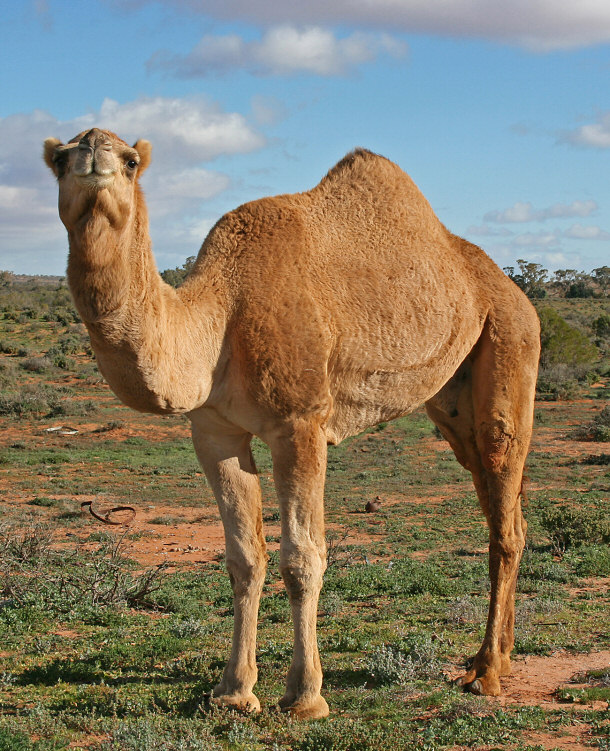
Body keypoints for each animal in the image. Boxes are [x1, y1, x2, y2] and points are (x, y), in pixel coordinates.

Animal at [44, 131, 536, 724]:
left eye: (132, 160)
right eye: (59, 159)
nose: (94, 151)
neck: (219, 319)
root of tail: (511, 288)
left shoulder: (300, 423)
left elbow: (302, 557)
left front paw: (304, 696)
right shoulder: (214, 432)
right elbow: (243, 556)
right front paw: (234, 691)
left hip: (510, 341)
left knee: (504, 500)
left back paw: (486, 673)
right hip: (453, 400)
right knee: (499, 506)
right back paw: (499, 656)